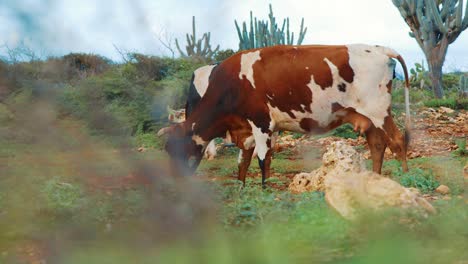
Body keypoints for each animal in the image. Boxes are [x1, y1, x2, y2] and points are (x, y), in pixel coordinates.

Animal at [164, 44, 410, 187]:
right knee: (377, 146)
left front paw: (264, 192)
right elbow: (244, 162)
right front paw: (241, 189)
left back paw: (407, 180)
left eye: (176, 149)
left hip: (378, 111)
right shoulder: (250, 129)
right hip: (369, 118)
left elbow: (262, 160)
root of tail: (379, 48)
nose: (174, 181)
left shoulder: (261, 124)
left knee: (397, 141)